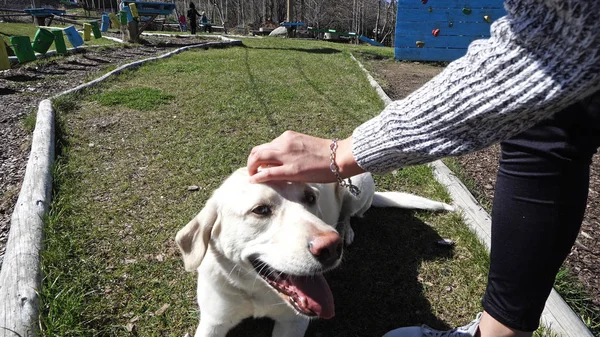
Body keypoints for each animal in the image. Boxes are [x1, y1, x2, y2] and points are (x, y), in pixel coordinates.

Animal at [176, 168, 452, 336]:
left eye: (310, 197)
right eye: (260, 210)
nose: (331, 247)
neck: (257, 292)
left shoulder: (293, 323)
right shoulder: (213, 322)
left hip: (356, 186)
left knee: (349, 214)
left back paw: (345, 229)